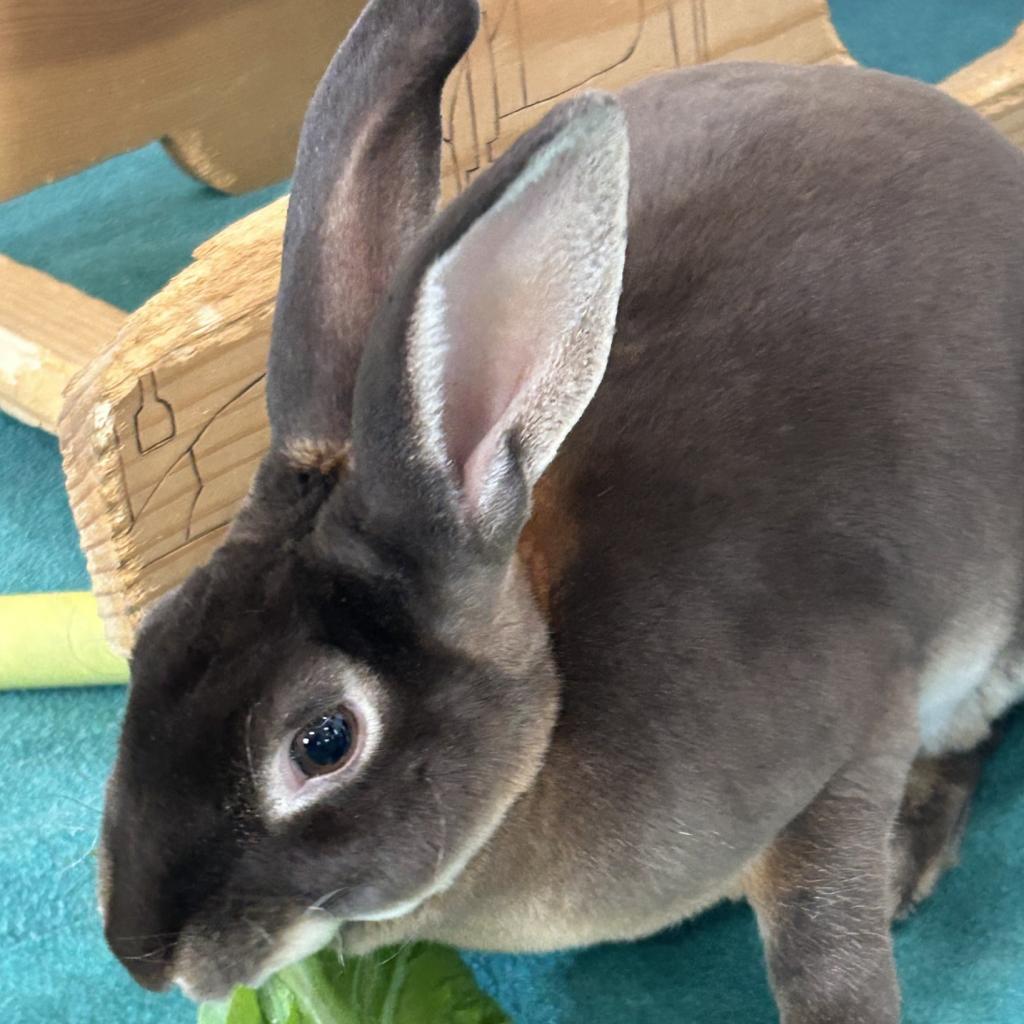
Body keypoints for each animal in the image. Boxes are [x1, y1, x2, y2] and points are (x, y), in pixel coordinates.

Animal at [96, 0, 1024, 1019]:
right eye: (154, 637)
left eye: (323, 742)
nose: (144, 957)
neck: (549, 707)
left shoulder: (853, 745)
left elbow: (825, 946)